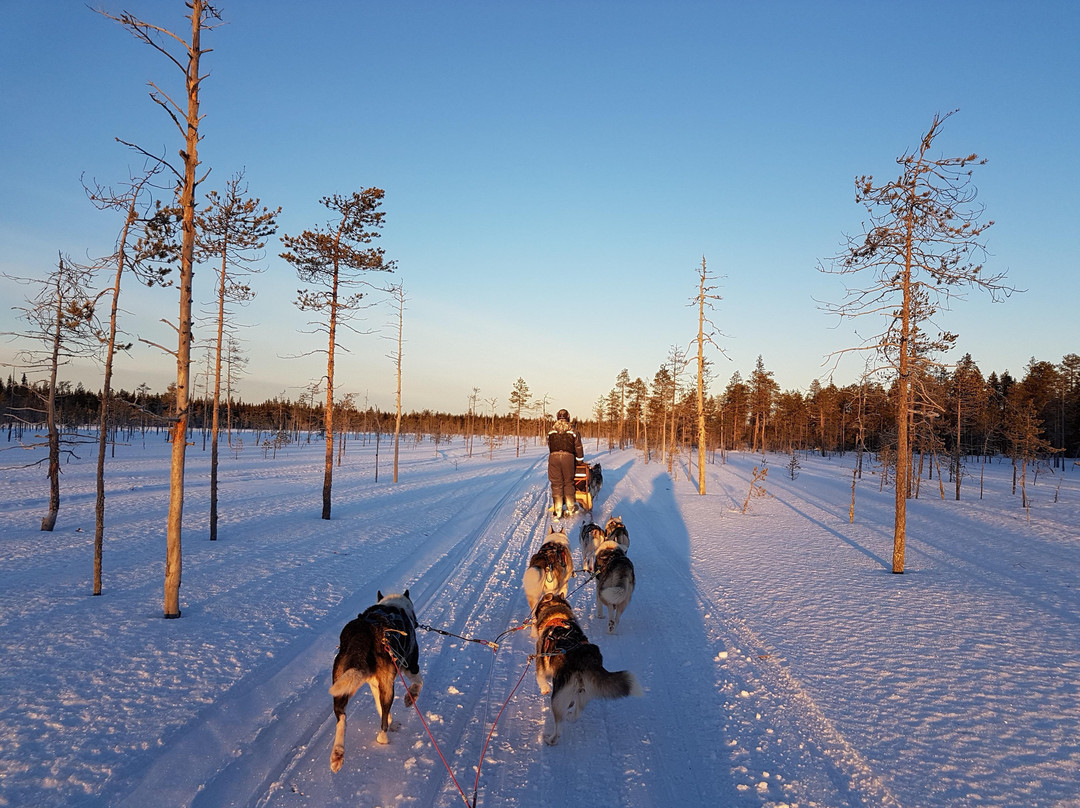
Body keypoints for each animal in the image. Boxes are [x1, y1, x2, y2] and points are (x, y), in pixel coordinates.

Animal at [324, 591, 421, 769]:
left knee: (341, 718)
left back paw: (338, 754)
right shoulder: (410, 665)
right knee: (382, 726)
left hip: (345, 682)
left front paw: (392, 721)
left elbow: (381, 709)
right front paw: (411, 697)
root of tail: (364, 631)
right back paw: (383, 738)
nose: (417, 623)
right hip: (387, 687)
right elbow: (418, 682)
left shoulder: (375, 685)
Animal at [531, 591, 639, 743]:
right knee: (577, 711)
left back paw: (550, 739)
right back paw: (571, 715)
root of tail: (586, 660)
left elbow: (540, 678)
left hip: (558, 698)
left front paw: (544, 688)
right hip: (583, 692)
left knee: (558, 726)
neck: (557, 616)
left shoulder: (540, 661)